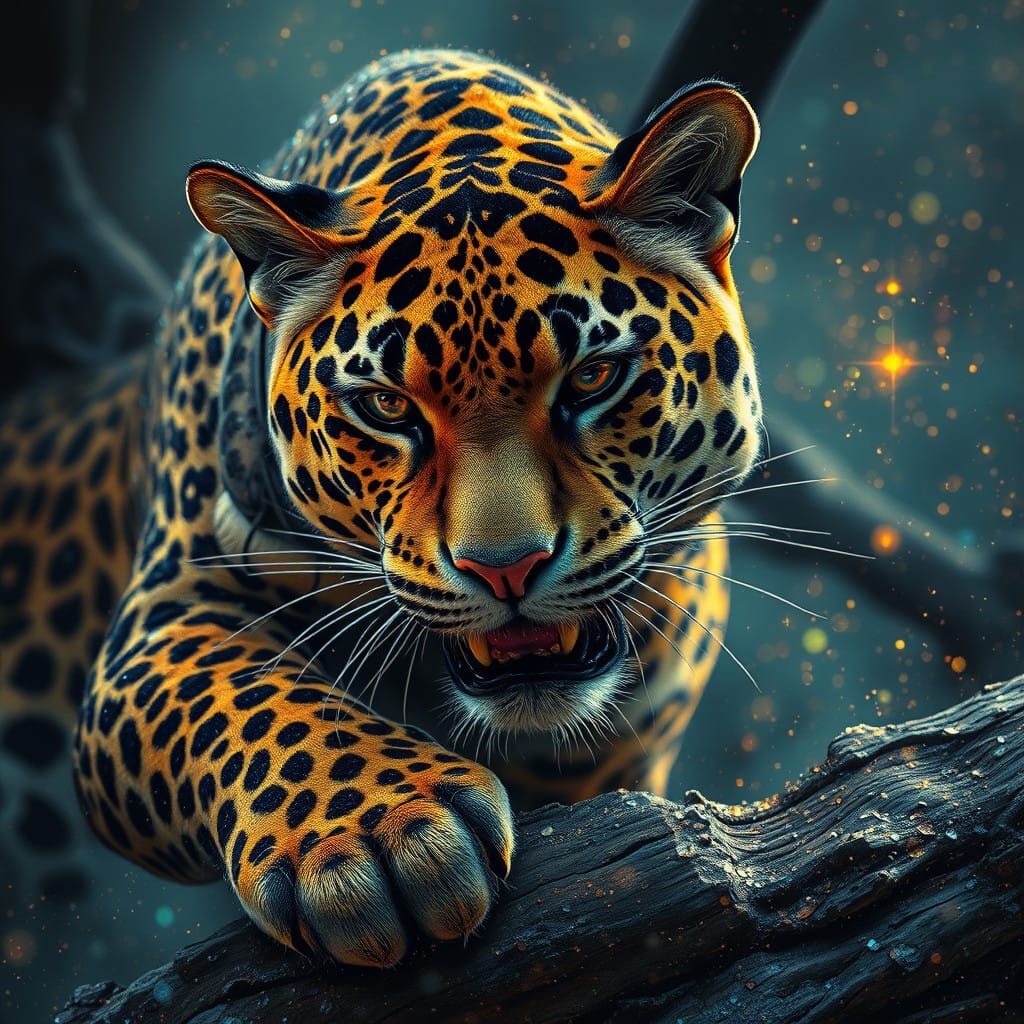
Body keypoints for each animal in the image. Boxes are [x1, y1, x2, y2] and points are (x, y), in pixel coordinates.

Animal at [0, 49, 761, 966]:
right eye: (387, 407)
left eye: (592, 377)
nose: (506, 570)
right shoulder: (163, 618)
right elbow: (252, 693)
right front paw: (378, 834)